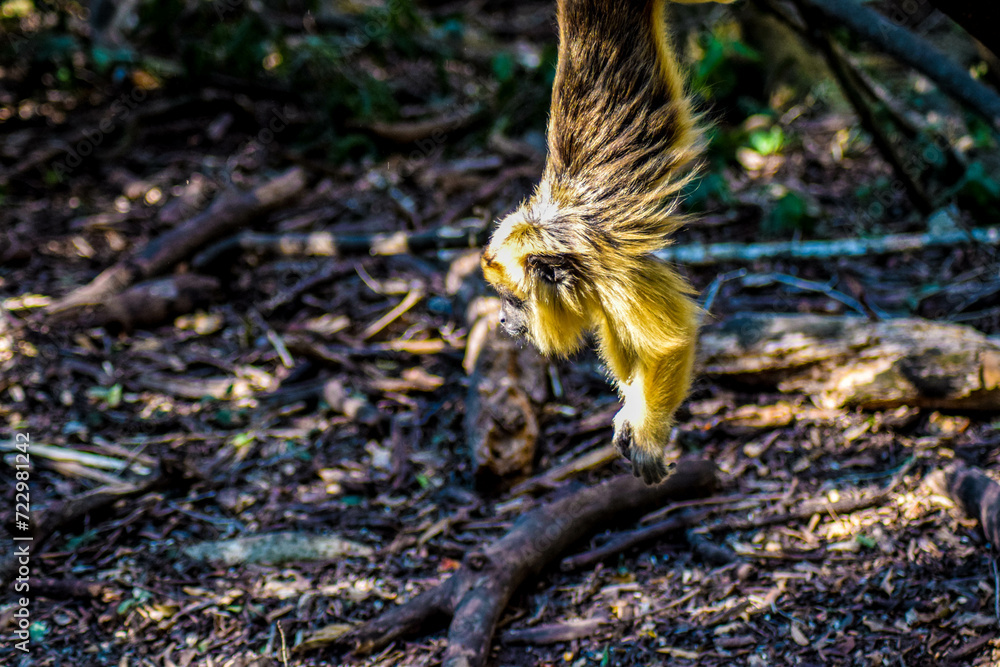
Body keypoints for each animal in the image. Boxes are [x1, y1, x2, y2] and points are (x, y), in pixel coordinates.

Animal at [481, 0, 730, 484]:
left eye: (513, 301)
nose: (501, 320)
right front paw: (633, 410)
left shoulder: (615, 275)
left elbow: (670, 343)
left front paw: (648, 435)